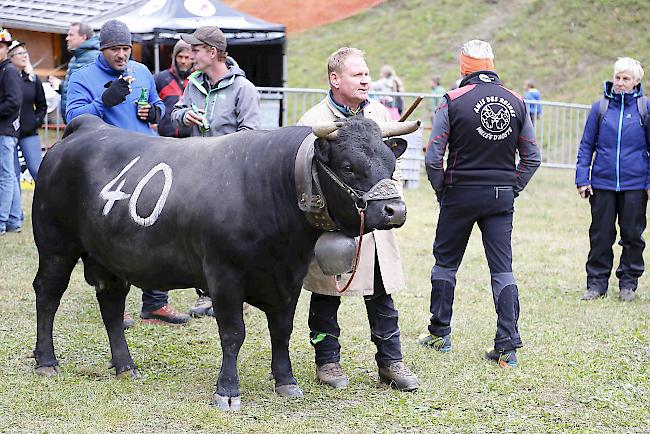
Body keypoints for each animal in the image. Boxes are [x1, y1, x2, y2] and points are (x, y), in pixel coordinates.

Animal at [31, 112, 416, 410]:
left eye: (391, 163)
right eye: (348, 167)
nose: (394, 210)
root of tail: (87, 126)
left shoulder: (289, 278)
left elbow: (282, 330)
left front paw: (286, 381)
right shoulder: (224, 276)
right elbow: (233, 334)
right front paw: (227, 391)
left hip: (110, 258)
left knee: (110, 307)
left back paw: (126, 366)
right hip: (55, 245)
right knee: (48, 296)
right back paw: (47, 362)